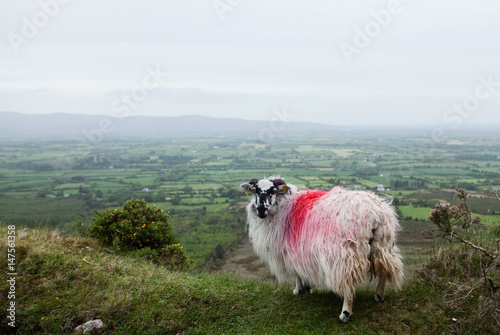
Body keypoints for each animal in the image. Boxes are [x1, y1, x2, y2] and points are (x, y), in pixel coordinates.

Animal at [240, 177, 404, 324]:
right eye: (255, 190)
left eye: (273, 190)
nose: (261, 209)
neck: (284, 206)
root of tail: (375, 213)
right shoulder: (301, 249)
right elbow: (301, 270)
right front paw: (306, 288)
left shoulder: (291, 249)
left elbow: (296, 272)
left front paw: (298, 290)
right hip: (382, 243)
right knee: (385, 268)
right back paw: (379, 296)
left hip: (345, 253)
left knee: (348, 283)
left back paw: (345, 314)